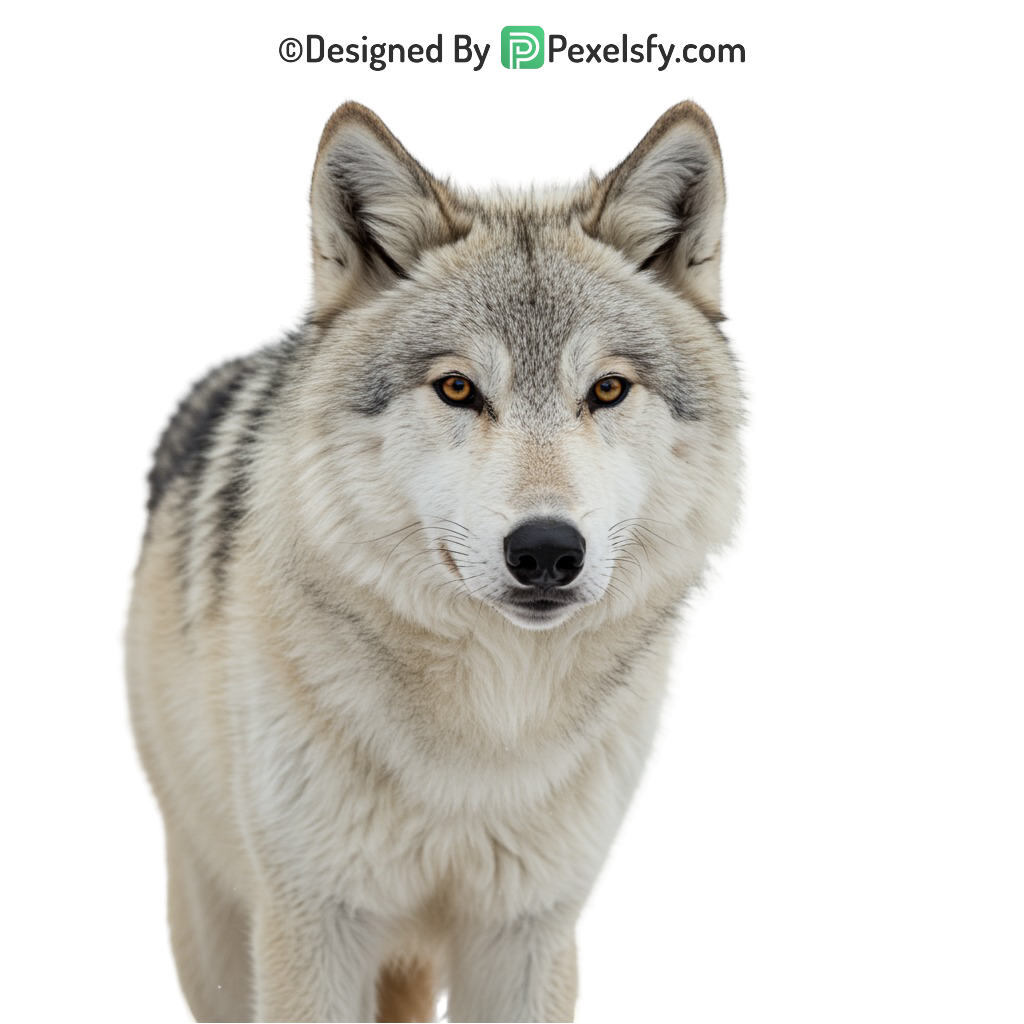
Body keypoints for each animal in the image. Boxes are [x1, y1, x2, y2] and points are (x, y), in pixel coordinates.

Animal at [117, 95, 757, 1022]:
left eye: (606, 389)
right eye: (458, 388)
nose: (546, 550)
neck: (486, 735)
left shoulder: (531, 932)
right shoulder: (314, 927)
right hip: (215, 923)